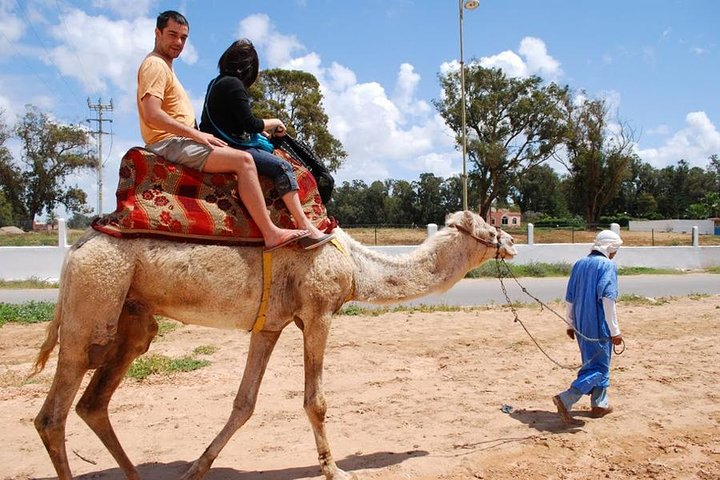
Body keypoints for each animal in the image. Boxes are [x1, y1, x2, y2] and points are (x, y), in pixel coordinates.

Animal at [32, 210, 516, 480]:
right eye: (488, 228)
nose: (510, 241)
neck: (356, 266)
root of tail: (76, 248)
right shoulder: (319, 312)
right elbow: (315, 401)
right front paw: (334, 469)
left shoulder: (270, 325)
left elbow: (244, 404)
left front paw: (195, 469)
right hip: (92, 304)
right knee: (52, 415)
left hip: (132, 319)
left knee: (94, 402)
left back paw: (134, 474)